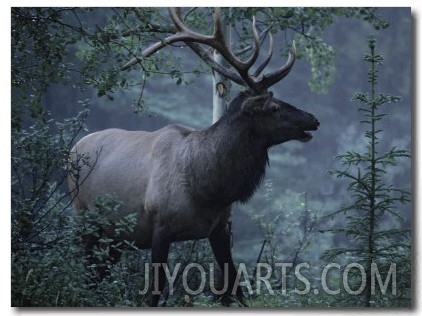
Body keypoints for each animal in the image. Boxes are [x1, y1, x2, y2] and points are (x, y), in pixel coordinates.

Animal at [68, 7, 320, 306]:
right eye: (273, 107)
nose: (314, 119)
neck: (207, 188)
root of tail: (73, 149)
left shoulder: (219, 228)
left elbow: (235, 286)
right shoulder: (159, 224)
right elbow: (155, 290)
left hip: (114, 234)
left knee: (97, 274)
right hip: (84, 217)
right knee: (85, 271)